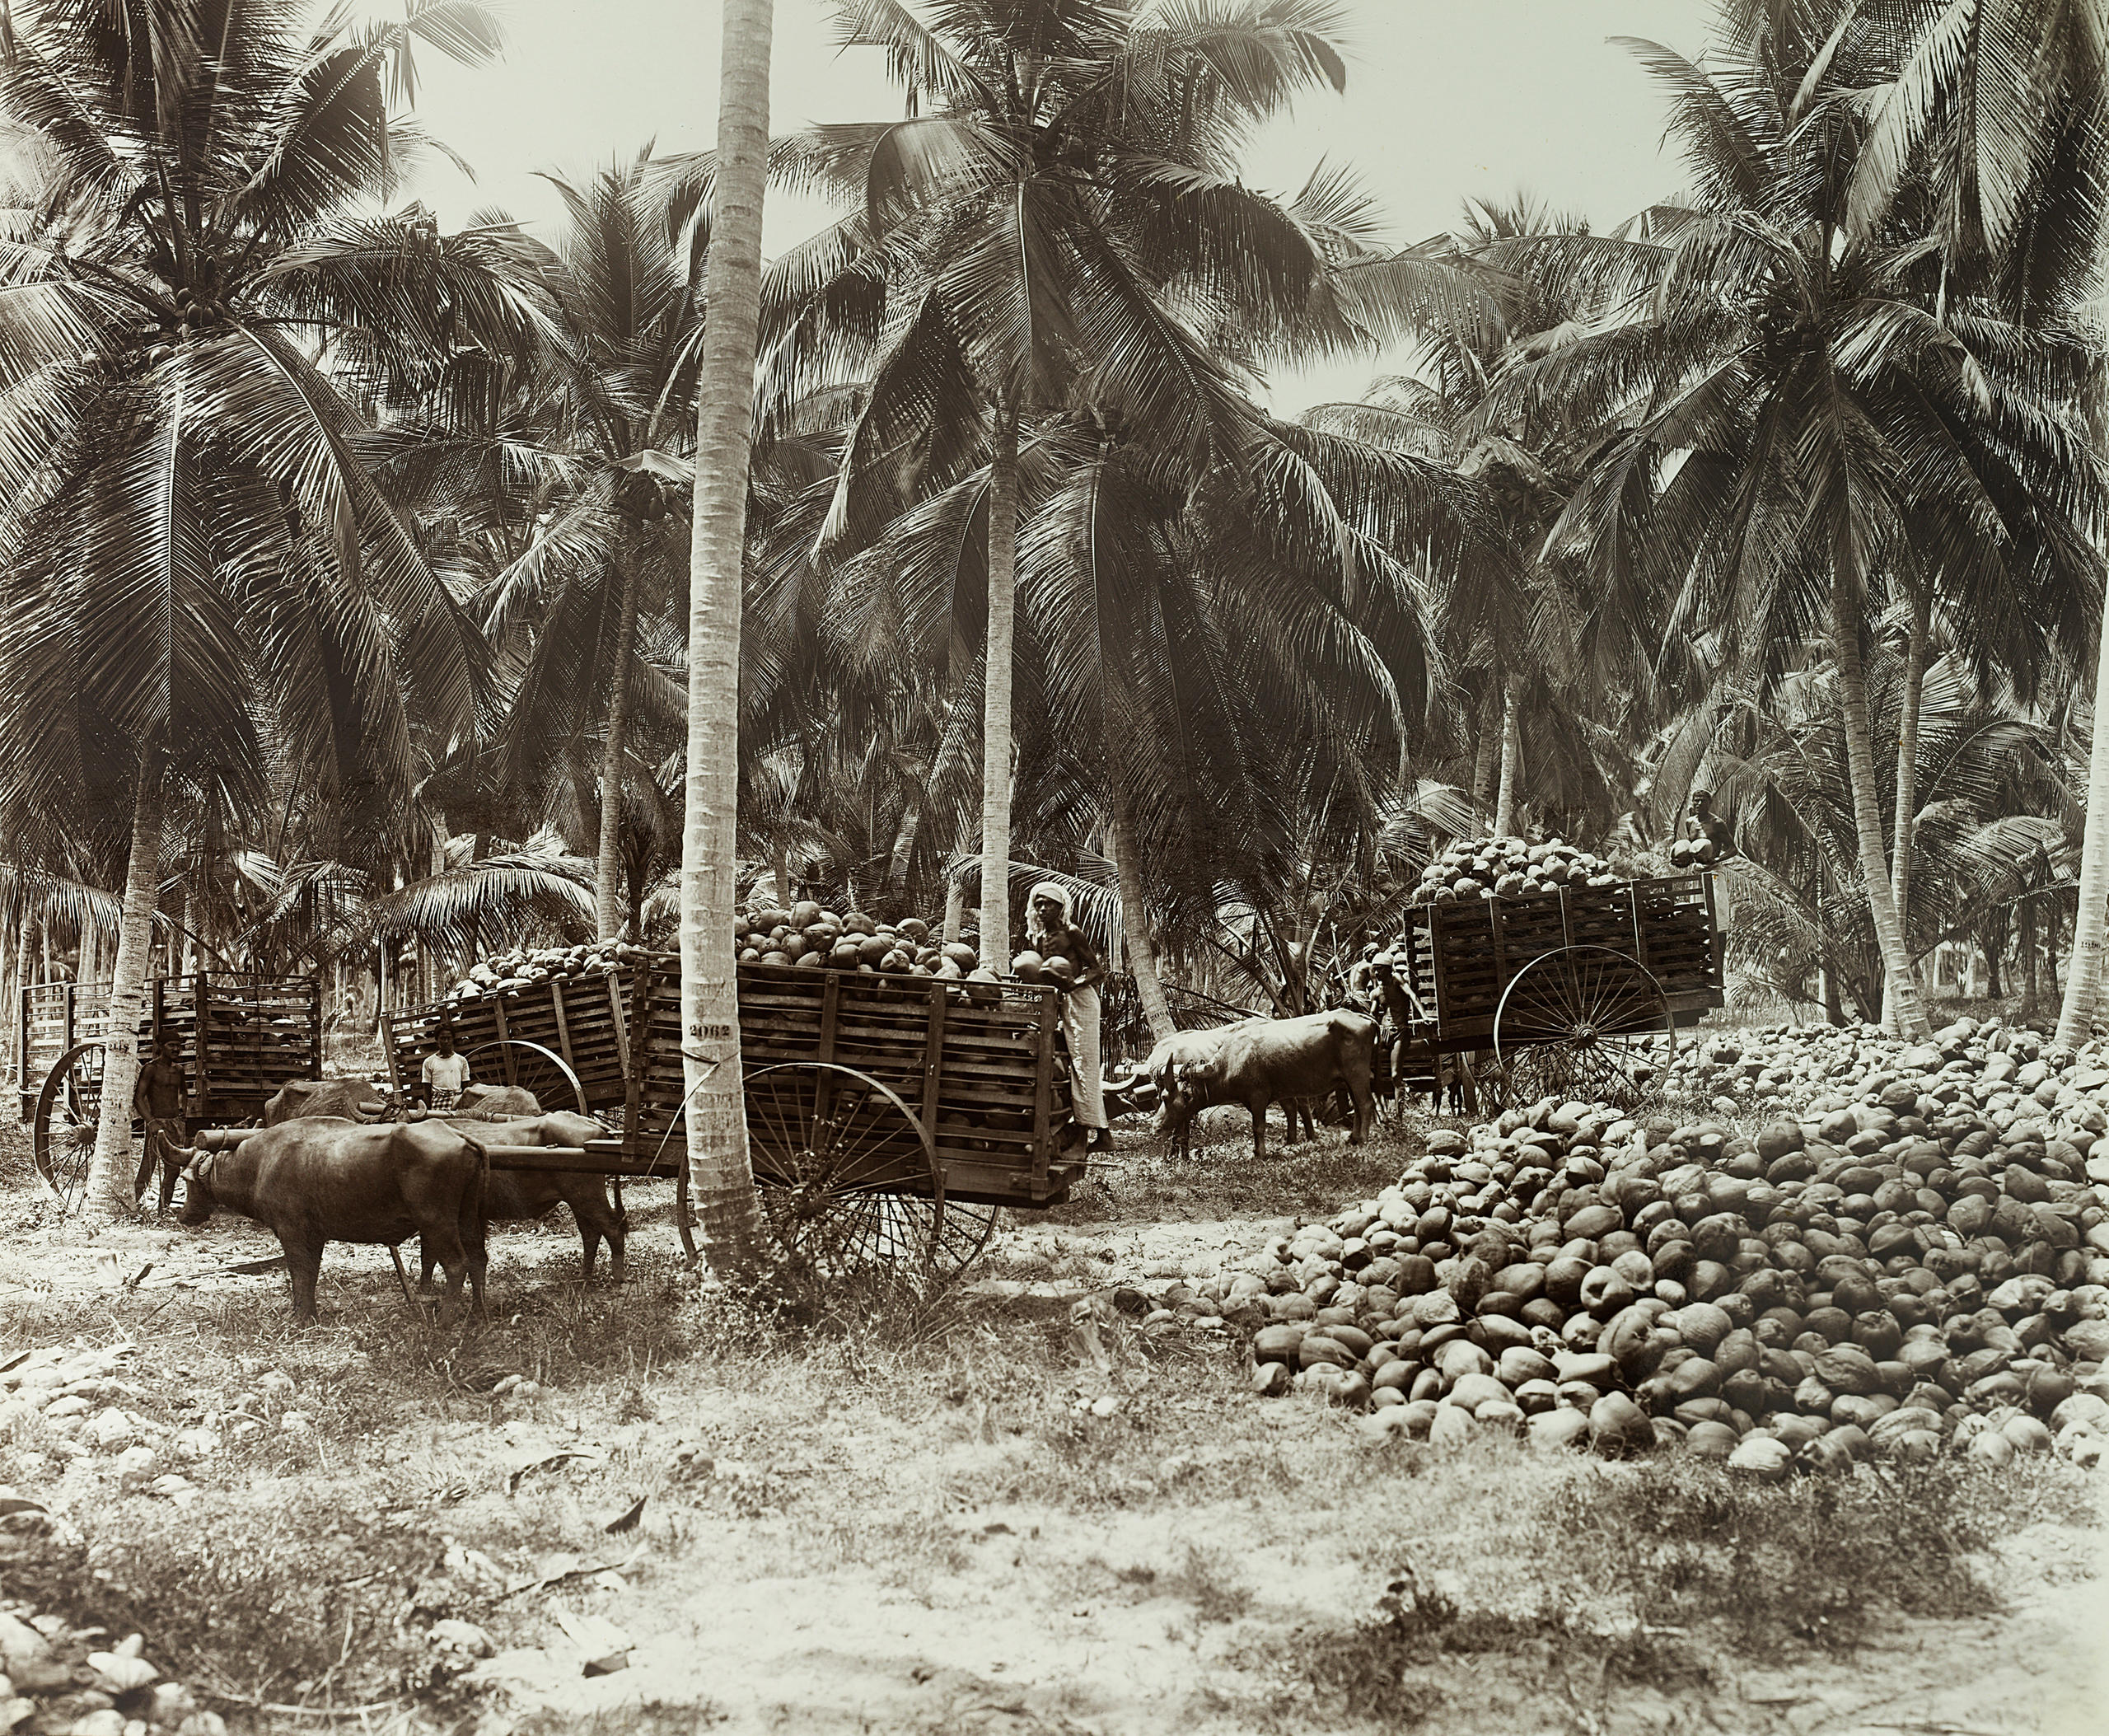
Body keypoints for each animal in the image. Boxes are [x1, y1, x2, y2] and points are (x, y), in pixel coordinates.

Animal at [174, 1121, 489, 1324]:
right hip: (468, 1219)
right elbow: (310, 1274)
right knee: (478, 1259)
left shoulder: (293, 1233)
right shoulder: (315, 1236)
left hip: (436, 1221)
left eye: (186, 1179)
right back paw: (478, 1315)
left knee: (457, 1264)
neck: (261, 1163)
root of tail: (459, 1137)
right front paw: (309, 1313)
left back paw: (445, 1322)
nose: (184, 1215)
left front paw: (300, 1318)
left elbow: (300, 1274)